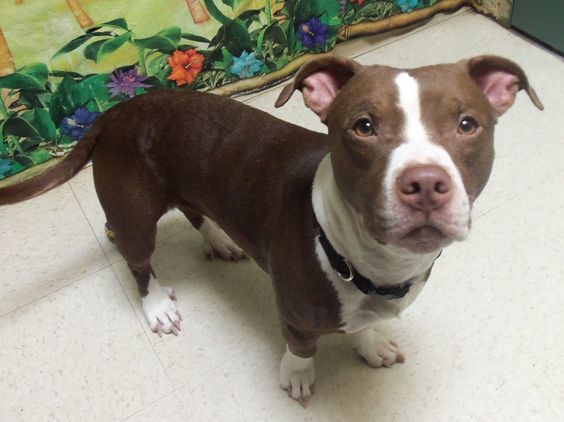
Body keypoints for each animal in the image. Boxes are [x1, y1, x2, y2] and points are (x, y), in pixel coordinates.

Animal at [0, 55, 540, 406]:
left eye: (467, 124)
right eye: (364, 126)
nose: (425, 182)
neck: (368, 266)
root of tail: (114, 111)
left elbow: (364, 326)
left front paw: (370, 344)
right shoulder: (296, 316)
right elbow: (301, 350)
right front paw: (297, 376)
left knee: (194, 211)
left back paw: (219, 240)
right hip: (133, 216)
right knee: (137, 261)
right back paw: (156, 305)